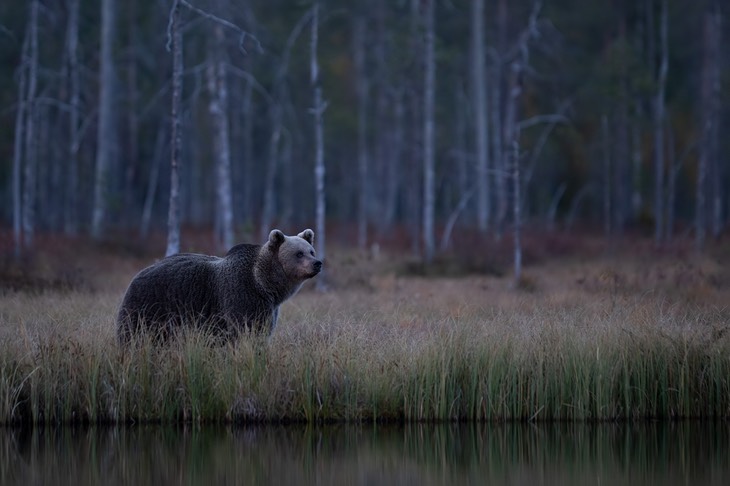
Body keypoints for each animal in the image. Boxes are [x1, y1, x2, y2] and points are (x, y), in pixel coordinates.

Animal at [117, 229, 322, 346]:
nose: (317, 263)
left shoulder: (268, 309)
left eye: (311, 251)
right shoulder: (242, 296)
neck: (264, 283)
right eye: (299, 253)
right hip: (151, 307)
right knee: (134, 336)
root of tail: (137, 275)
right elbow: (245, 331)